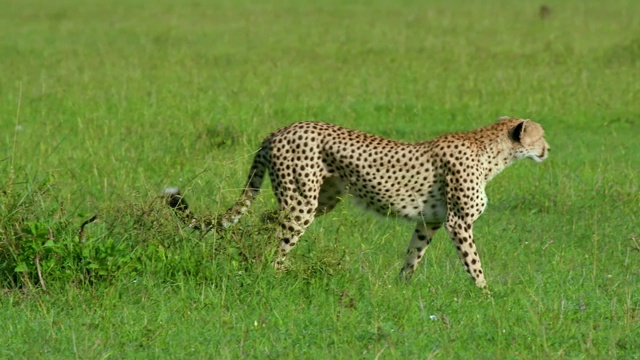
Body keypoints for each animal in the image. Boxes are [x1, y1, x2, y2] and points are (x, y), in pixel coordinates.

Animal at [169, 116, 552, 288]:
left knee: (265, 223)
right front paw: (485, 295)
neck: (492, 151)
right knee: (278, 241)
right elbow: (474, 263)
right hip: (301, 204)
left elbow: (413, 255)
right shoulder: (458, 222)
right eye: (541, 135)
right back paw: (276, 274)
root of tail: (279, 131)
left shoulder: (428, 221)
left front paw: (401, 288)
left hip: (319, 199)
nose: (548, 149)